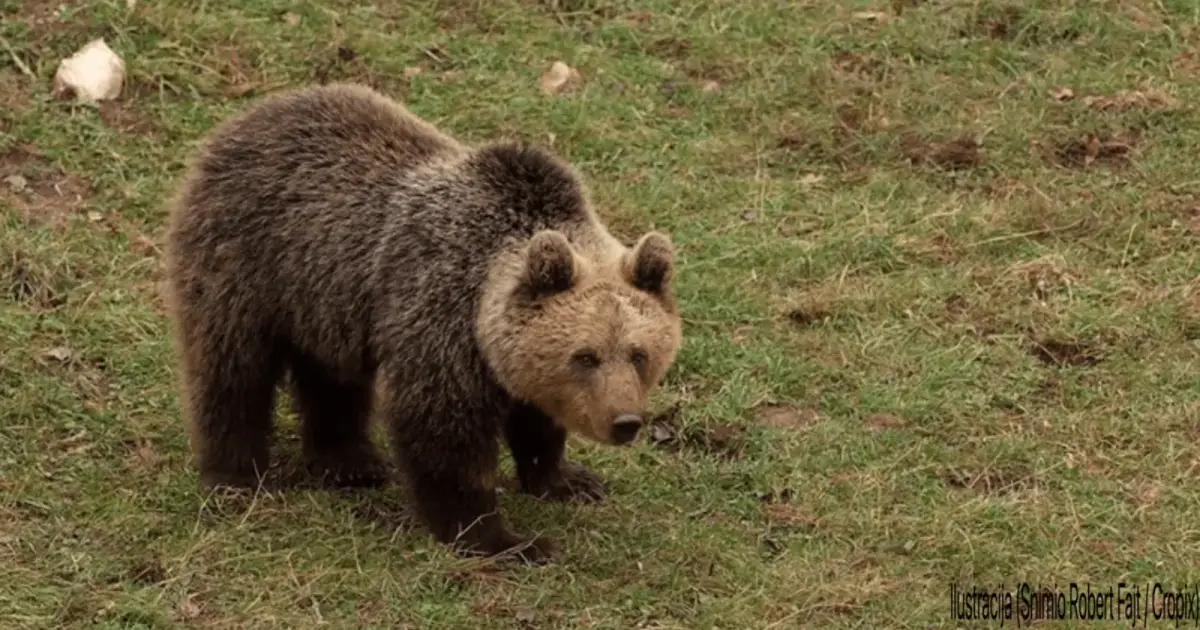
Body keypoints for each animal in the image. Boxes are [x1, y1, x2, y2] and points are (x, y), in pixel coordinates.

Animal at [163, 83, 683, 563]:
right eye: (586, 355)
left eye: (638, 353)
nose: (625, 421)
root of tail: (250, 115)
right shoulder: (440, 317)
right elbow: (442, 432)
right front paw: (505, 539)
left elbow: (536, 420)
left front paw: (569, 480)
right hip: (245, 262)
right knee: (231, 369)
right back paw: (236, 474)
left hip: (327, 299)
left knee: (333, 380)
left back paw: (351, 462)